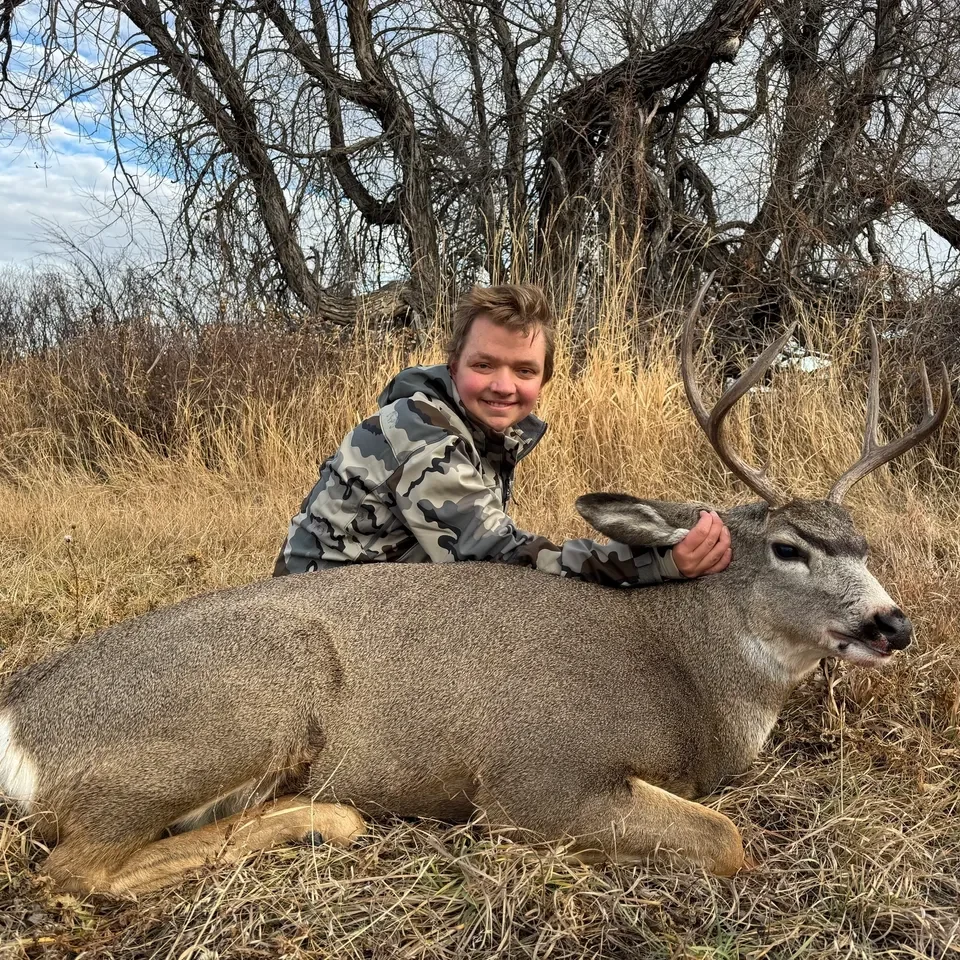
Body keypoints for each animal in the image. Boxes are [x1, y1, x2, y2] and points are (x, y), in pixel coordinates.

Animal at [0, 284, 951, 898]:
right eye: (790, 547)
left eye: (864, 544)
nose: (892, 623)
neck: (688, 674)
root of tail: (20, 719)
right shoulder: (538, 775)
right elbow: (726, 839)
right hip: (234, 709)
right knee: (72, 871)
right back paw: (323, 815)